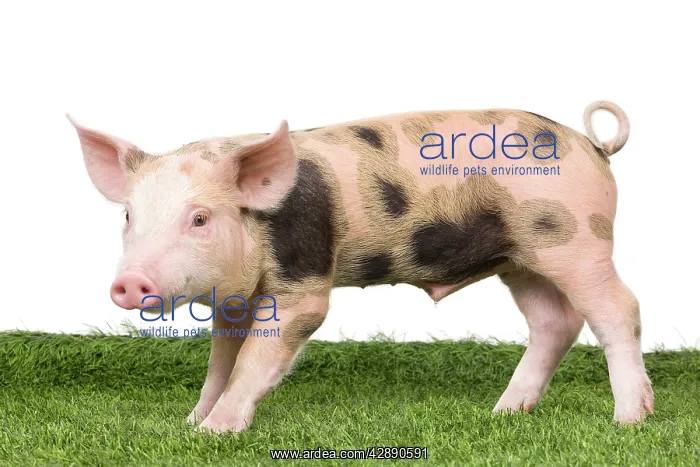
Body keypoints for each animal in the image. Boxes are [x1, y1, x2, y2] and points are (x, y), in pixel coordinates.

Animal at [69, 100, 652, 433]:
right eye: (128, 215)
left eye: (200, 218)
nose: (129, 281)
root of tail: (595, 146)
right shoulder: (235, 296)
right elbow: (221, 359)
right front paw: (190, 423)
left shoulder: (304, 277)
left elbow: (259, 355)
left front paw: (218, 432)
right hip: (520, 257)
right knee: (556, 322)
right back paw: (505, 414)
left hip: (577, 238)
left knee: (618, 309)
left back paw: (629, 421)